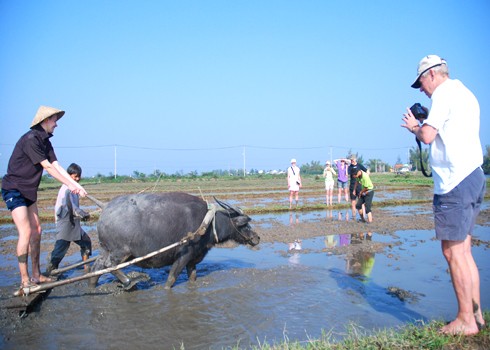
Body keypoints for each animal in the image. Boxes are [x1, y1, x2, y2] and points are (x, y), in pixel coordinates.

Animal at [90, 193, 262, 288]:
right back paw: (128, 282)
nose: (257, 237)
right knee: (109, 265)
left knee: (97, 266)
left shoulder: (192, 260)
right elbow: (171, 279)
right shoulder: (183, 256)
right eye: (244, 224)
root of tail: (105, 208)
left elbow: (193, 277)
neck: (207, 224)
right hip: (121, 252)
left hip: (105, 249)